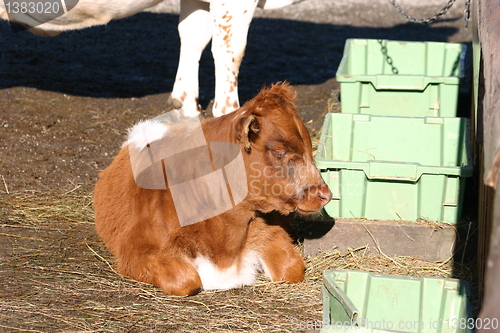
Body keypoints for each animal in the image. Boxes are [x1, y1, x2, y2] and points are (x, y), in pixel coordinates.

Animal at [94, 81, 332, 294]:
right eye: (280, 151)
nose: (325, 195)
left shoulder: (273, 230)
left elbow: (292, 268)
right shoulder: (136, 251)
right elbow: (185, 280)